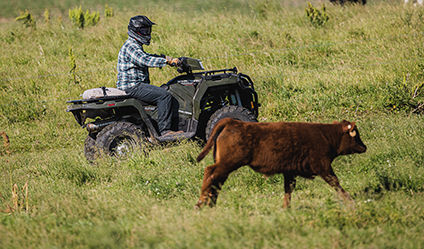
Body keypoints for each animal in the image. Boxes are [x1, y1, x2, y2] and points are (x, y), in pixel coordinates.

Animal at [197, 118, 366, 208]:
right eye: (355, 135)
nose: (364, 147)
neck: (326, 136)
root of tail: (233, 122)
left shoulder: (290, 172)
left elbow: (288, 189)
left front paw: (286, 208)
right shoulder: (323, 166)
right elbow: (335, 182)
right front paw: (350, 201)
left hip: (225, 165)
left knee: (216, 181)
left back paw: (211, 203)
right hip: (227, 163)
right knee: (210, 173)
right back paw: (201, 203)